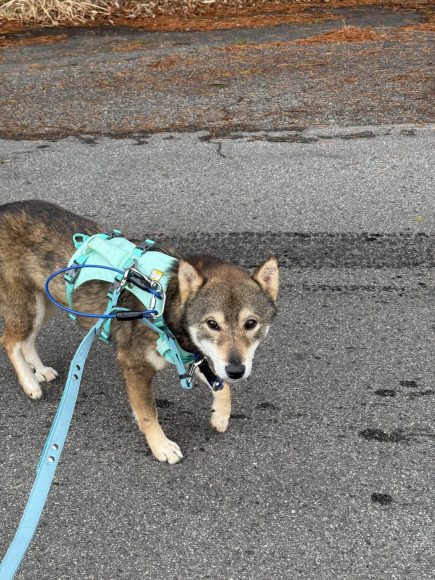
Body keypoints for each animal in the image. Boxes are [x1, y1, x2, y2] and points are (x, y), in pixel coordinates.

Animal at [0, 200, 279, 464]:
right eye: (212, 324)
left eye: (251, 324)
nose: (237, 370)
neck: (166, 300)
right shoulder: (135, 365)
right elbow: (148, 413)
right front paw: (161, 446)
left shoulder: (190, 353)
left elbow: (222, 387)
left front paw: (220, 415)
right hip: (28, 306)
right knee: (10, 341)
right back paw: (29, 382)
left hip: (45, 301)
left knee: (26, 341)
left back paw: (39, 371)